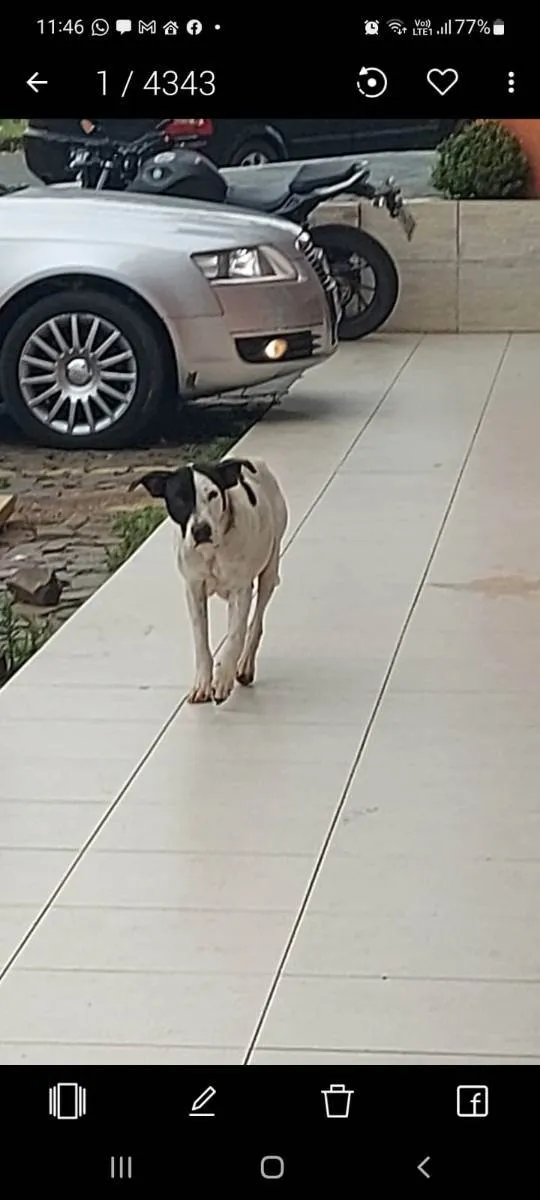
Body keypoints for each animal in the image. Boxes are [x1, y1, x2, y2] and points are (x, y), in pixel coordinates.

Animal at [129, 456, 286, 700]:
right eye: (179, 498)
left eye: (212, 494)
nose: (201, 530)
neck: (211, 552)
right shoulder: (193, 589)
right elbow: (201, 640)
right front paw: (203, 683)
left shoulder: (241, 589)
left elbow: (235, 635)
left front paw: (222, 678)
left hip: (270, 567)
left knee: (255, 622)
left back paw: (244, 664)